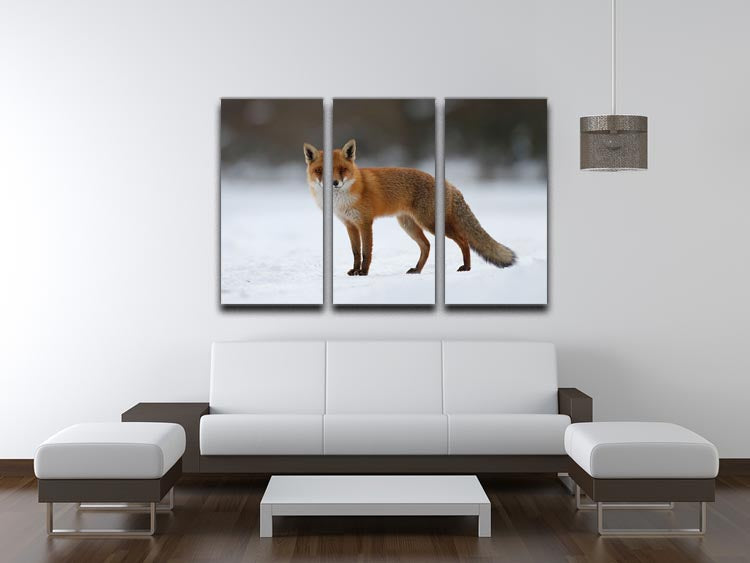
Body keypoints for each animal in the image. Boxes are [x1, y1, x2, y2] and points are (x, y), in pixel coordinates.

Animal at [303, 139, 516, 276]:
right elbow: (356, 252)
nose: (334, 183)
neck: (342, 199)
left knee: (463, 240)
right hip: (408, 224)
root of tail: (447, 183)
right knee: (427, 245)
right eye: (320, 171)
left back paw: (466, 268)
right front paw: (355, 270)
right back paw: (417, 269)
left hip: (431, 223)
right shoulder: (349, 224)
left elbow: (366, 252)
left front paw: (363, 272)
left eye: (342, 170)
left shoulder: (365, 222)